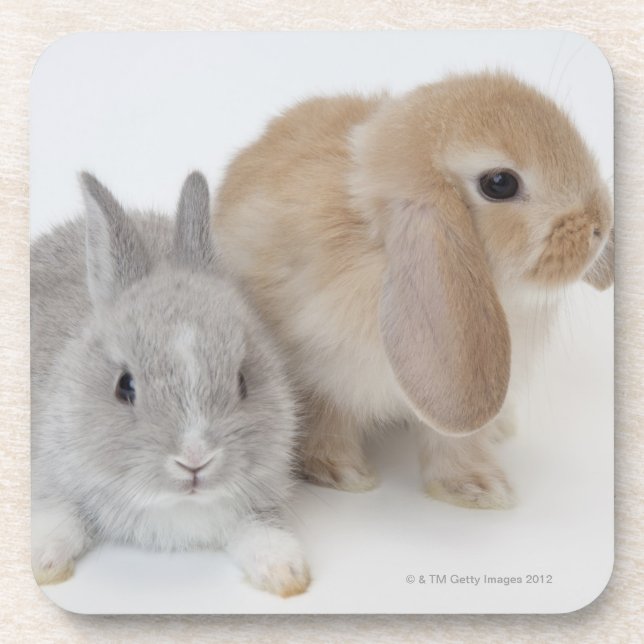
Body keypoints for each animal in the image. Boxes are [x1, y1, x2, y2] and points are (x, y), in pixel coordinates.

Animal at [31, 171, 310, 598]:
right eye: (124, 386)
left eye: (243, 381)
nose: (194, 460)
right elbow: (59, 515)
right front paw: (42, 563)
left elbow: (262, 530)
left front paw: (287, 574)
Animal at [212, 71, 614, 510]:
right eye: (500, 183)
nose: (600, 225)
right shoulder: (322, 370)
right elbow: (327, 420)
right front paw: (342, 473)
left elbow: (452, 441)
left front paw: (477, 488)